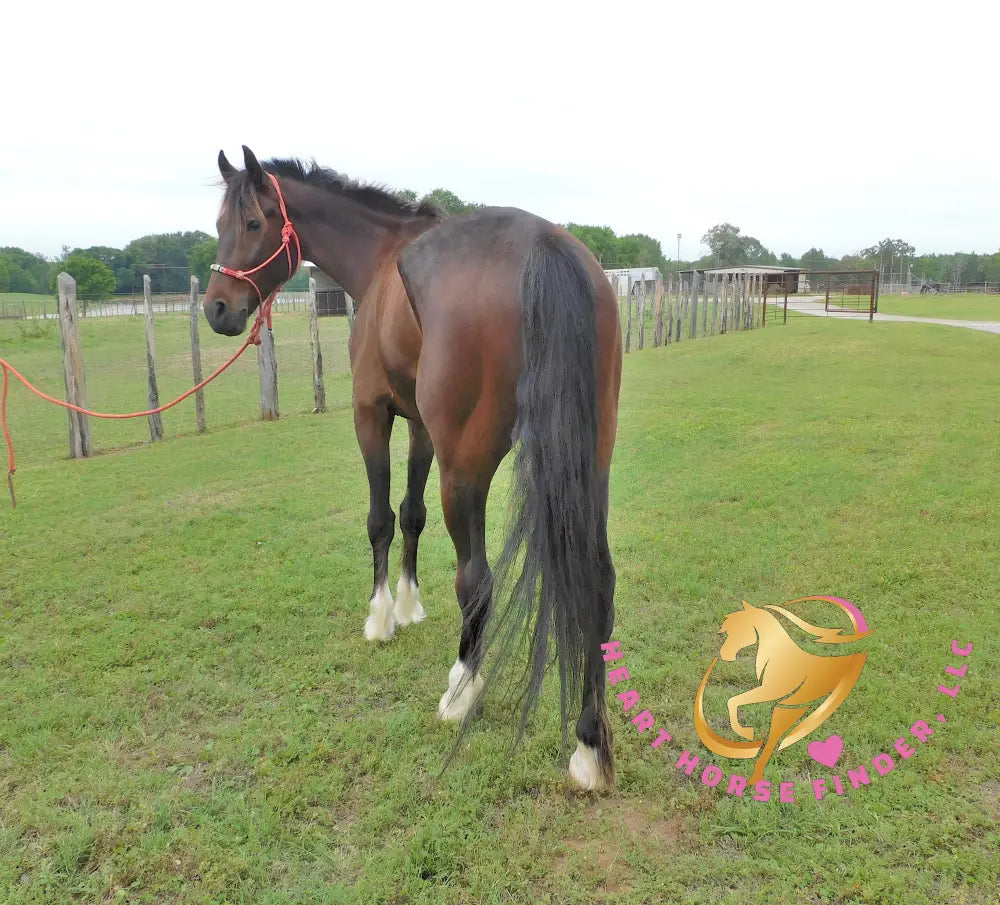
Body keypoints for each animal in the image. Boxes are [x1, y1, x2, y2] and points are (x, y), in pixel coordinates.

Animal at [202, 147, 623, 790]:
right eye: (220, 224)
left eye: (252, 223)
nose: (218, 308)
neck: (380, 260)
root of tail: (544, 245)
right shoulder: (420, 427)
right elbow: (411, 513)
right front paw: (408, 603)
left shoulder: (372, 414)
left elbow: (380, 517)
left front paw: (381, 617)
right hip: (589, 463)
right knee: (597, 582)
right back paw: (589, 745)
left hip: (466, 469)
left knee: (477, 579)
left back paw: (461, 690)